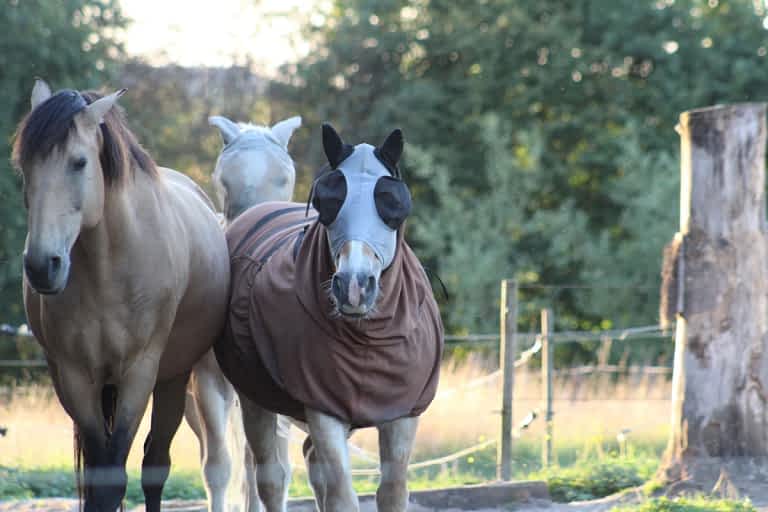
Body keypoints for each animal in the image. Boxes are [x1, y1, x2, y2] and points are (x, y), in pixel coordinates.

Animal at [12, 80, 230, 512]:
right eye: (25, 166)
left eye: (79, 162)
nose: (43, 266)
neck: (108, 270)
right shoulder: (75, 377)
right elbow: (99, 477)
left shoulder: (139, 373)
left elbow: (118, 473)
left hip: (172, 379)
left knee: (155, 462)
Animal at [215, 124, 444, 512]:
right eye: (328, 199)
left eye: (392, 201)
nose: (354, 286)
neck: (366, 342)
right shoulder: (323, 411)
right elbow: (341, 494)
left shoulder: (403, 414)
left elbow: (392, 490)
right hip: (253, 401)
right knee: (269, 476)